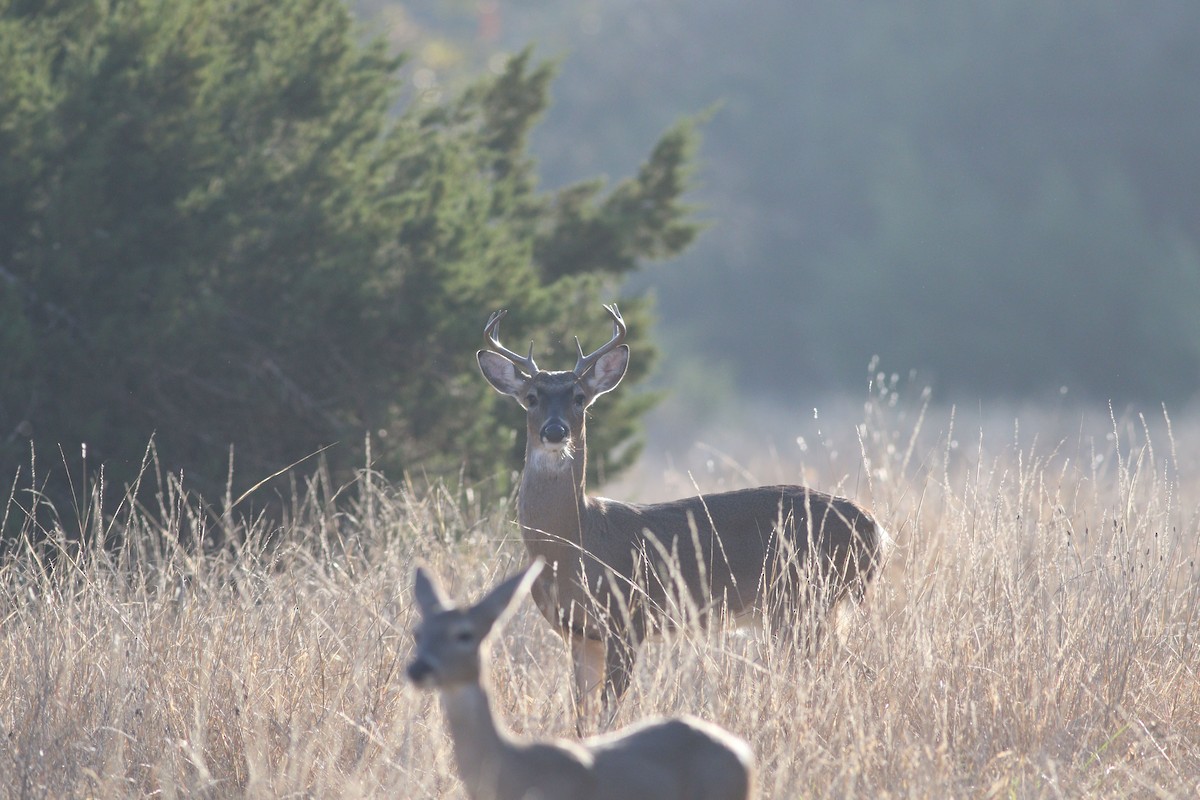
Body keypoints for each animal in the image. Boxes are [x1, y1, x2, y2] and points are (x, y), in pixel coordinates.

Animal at [477, 304, 889, 721]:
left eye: (579, 397)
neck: (574, 543)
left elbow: (609, 711)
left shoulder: (628, 620)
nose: (555, 431)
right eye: (531, 397)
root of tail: (874, 527)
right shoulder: (578, 634)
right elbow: (582, 715)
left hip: (806, 599)